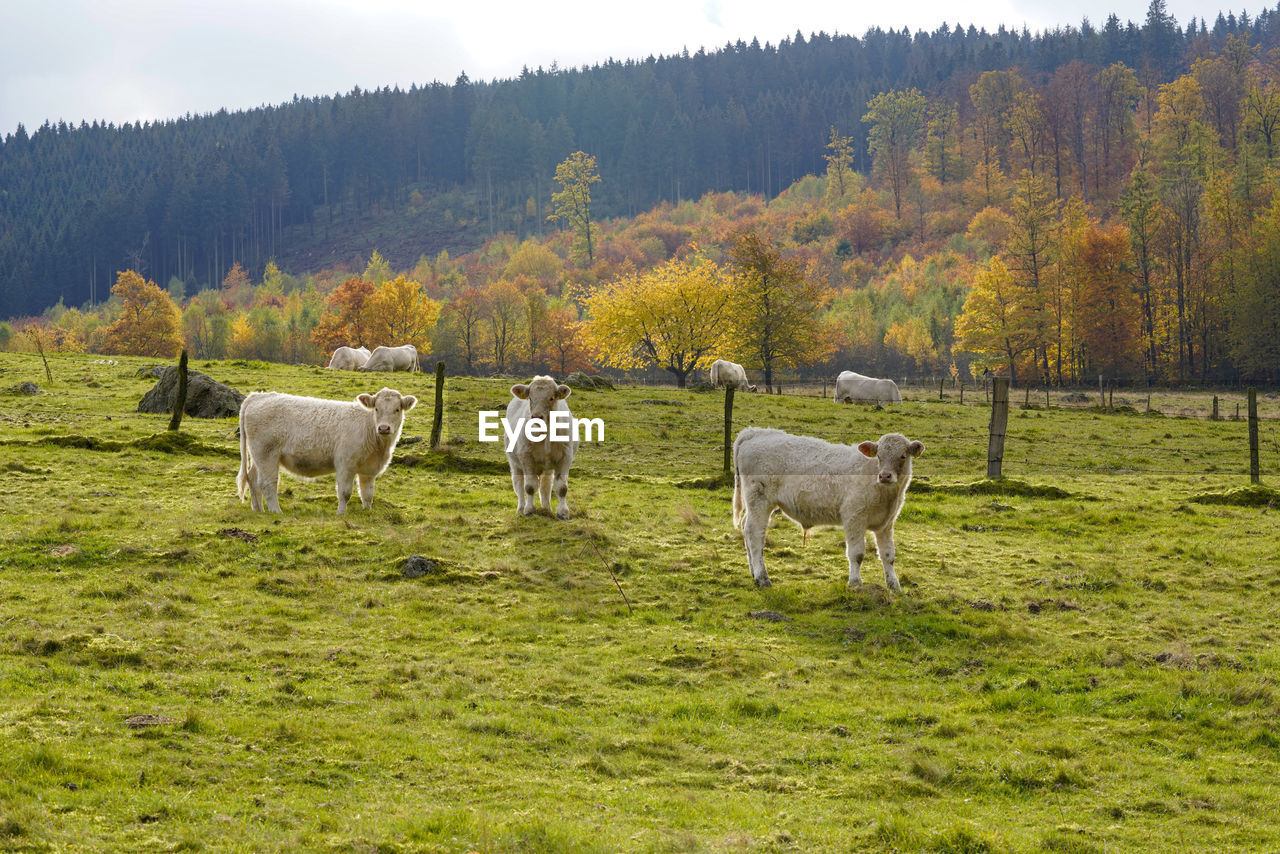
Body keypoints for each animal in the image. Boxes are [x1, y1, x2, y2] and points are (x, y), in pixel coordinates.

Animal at [238, 386, 417, 514]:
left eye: (397, 409)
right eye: (377, 409)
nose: (384, 428)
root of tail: (258, 396)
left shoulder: (369, 469)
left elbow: (367, 493)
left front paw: (368, 512)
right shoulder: (345, 464)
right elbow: (345, 492)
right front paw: (341, 513)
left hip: (258, 456)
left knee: (252, 479)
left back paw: (259, 510)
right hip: (267, 454)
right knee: (267, 483)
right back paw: (276, 511)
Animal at [504, 376, 581, 522]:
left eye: (551, 398)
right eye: (530, 398)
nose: (536, 417)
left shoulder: (565, 457)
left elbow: (561, 487)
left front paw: (563, 513)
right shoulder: (526, 457)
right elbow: (529, 486)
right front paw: (529, 510)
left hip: (547, 468)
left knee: (545, 486)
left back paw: (546, 508)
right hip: (514, 462)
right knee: (519, 485)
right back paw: (521, 508)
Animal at [737, 425, 926, 588]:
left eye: (903, 456)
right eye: (879, 456)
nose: (885, 476)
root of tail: (754, 432)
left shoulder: (886, 523)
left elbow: (888, 555)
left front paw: (894, 585)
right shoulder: (854, 517)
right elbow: (857, 554)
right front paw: (855, 583)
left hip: (754, 504)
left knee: (746, 528)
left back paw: (753, 572)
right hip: (759, 501)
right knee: (754, 534)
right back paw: (762, 578)